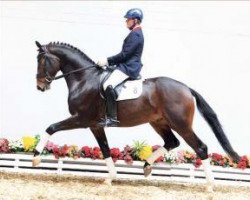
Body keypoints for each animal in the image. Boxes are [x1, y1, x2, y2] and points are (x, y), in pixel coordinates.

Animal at [33, 40, 240, 189]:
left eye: (41, 61)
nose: (40, 86)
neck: (84, 79)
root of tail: (187, 88)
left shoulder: (81, 119)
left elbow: (51, 127)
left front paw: (36, 156)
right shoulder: (95, 125)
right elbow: (105, 149)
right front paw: (110, 178)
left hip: (181, 124)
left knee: (200, 148)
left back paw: (210, 185)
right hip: (159, 122)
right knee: (172, 142)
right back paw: (147, 166)